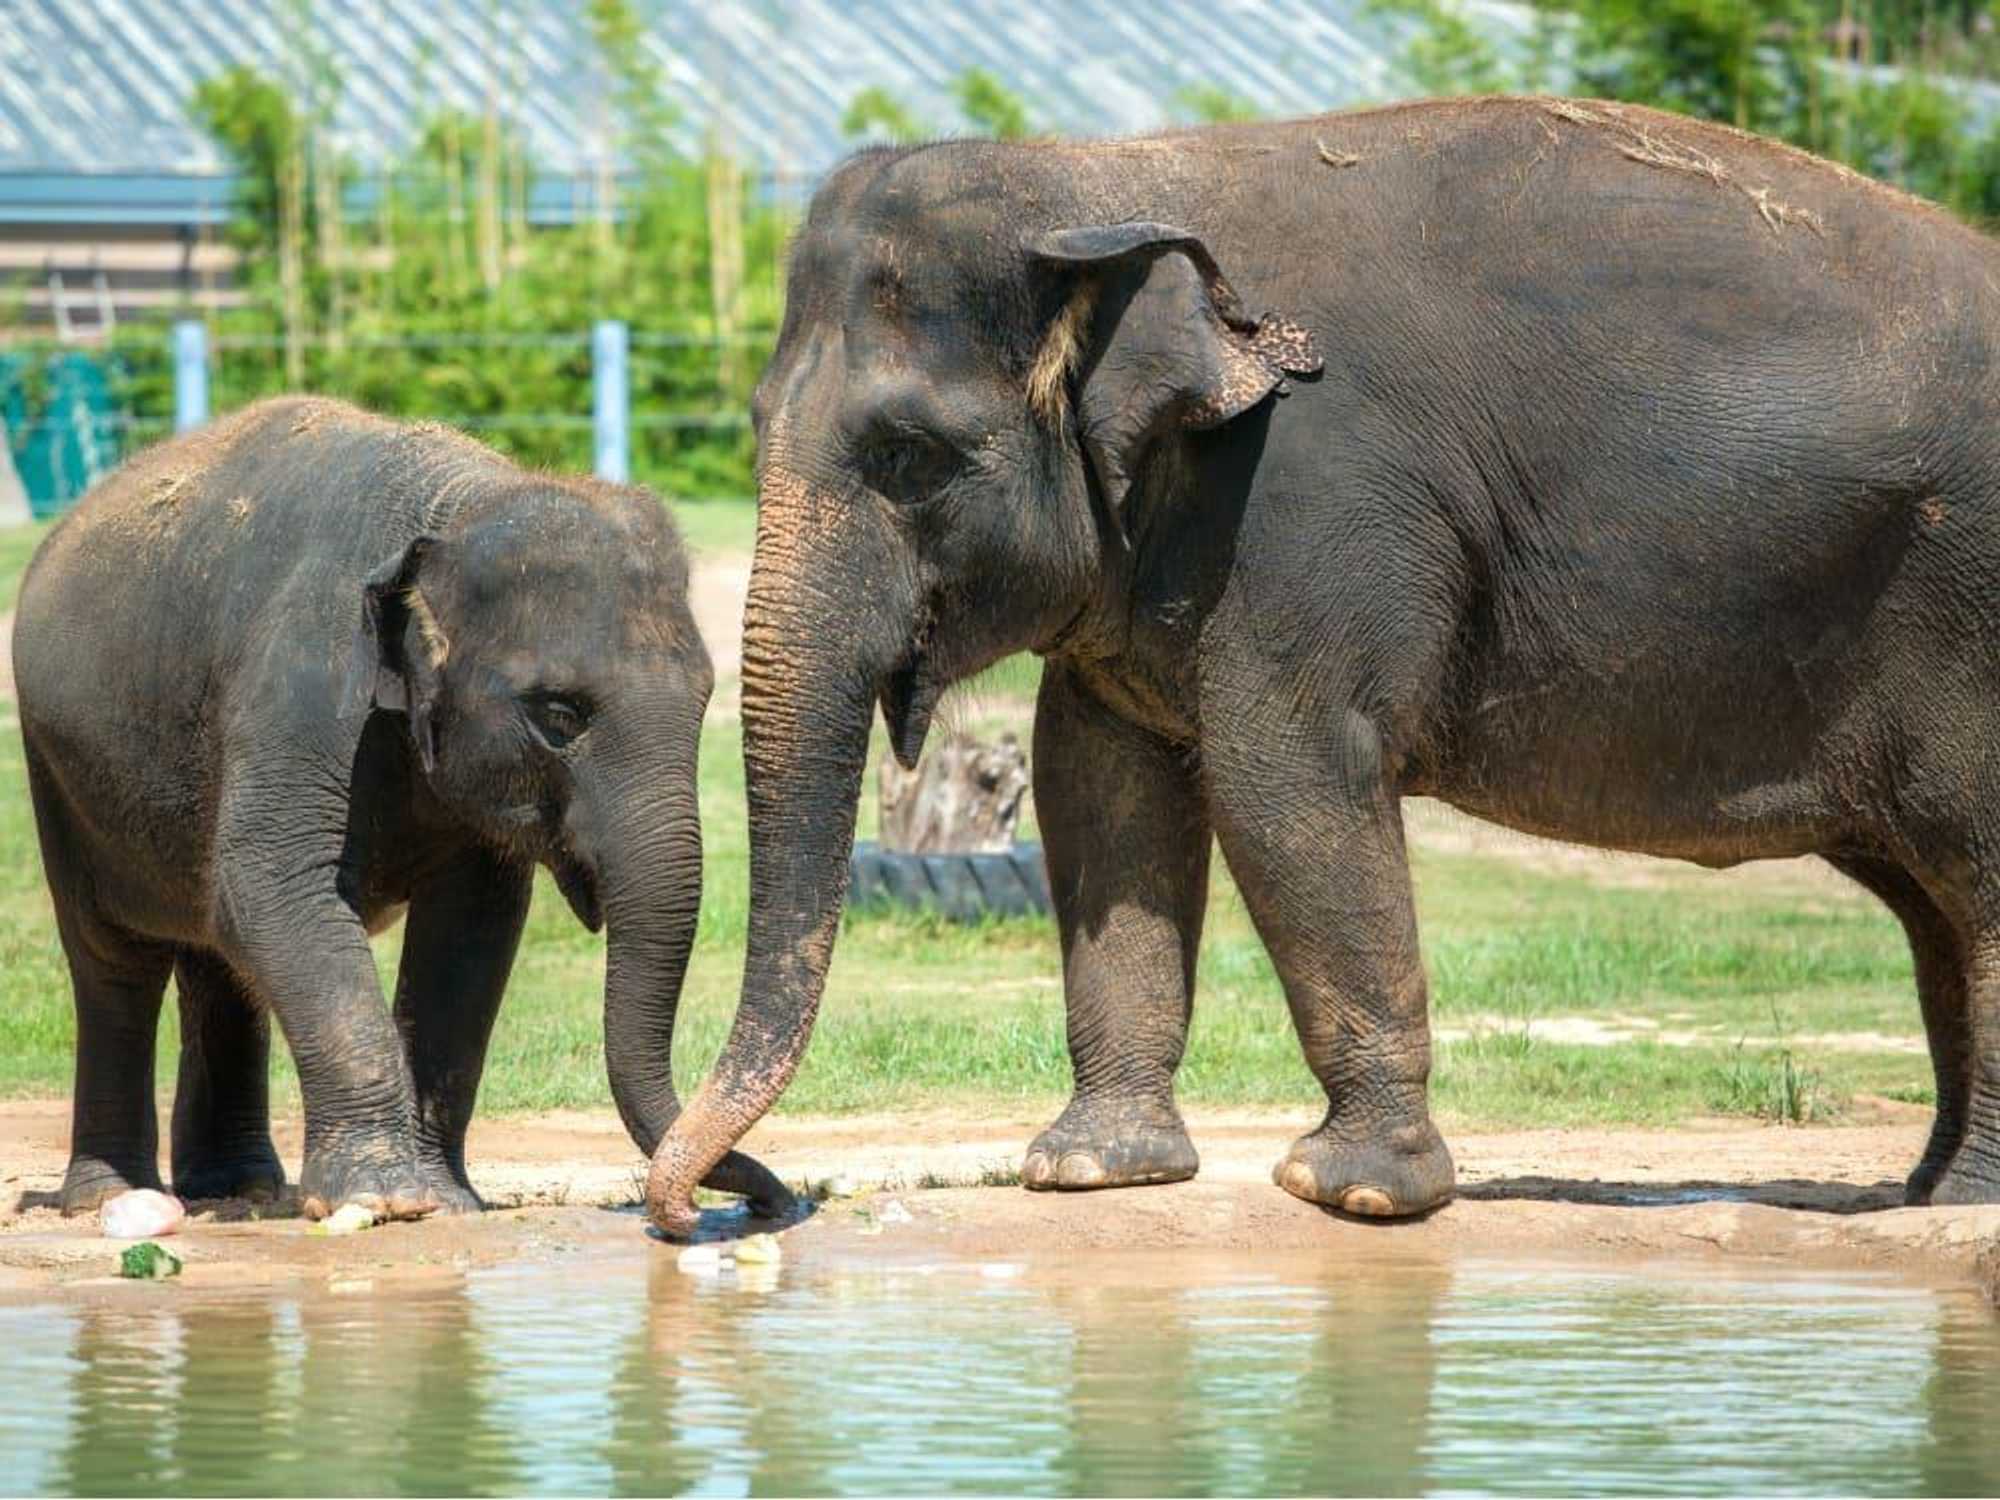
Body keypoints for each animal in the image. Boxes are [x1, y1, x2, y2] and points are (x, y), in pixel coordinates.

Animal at [13, 396, 787, 1220]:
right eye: (558, 714)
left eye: (705, 698)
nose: (759, 1203)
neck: (452, 506)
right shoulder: (300, 688)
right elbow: (275, 892)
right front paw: (387, 1198)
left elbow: (470, 935)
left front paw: (446, 1199)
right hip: (56, 774)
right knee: (113, 966)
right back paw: (111, 1196)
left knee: (216, 958)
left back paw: (238, 1189)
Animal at [640, 93, 2000, 1235]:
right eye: (751, 427)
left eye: (907, 454)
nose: (726, 1207)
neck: (1102, 176)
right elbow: (1098, 784)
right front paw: (1090, 1169)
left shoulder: (1312, 496)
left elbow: (1281, 778)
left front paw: (1351, 1194)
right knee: (1931, 902)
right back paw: (1923, 1194)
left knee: (1970, 878)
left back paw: (1952, 1207)